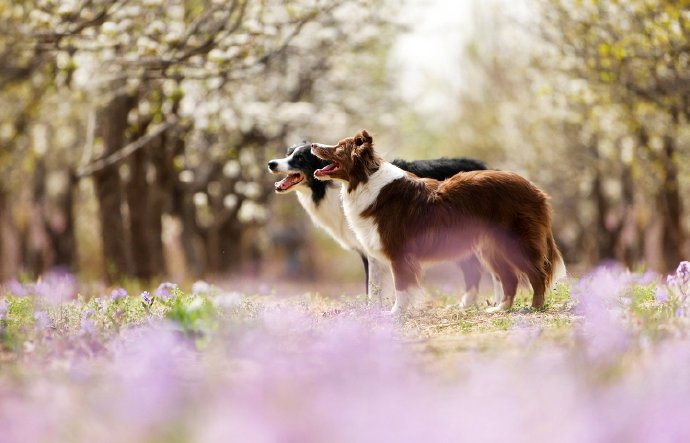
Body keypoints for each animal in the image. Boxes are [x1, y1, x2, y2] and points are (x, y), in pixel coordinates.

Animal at [312, 130, 564, 314]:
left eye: (338, 147)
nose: (313, 144)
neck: (365, 180)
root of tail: (535, 189)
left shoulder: (399, 253)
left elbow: (401, 287)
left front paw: (396, 313)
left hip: (514, 242)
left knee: (537, 274)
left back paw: (535, 308)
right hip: (491, 247)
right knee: (510, 278)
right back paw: (500, 310)